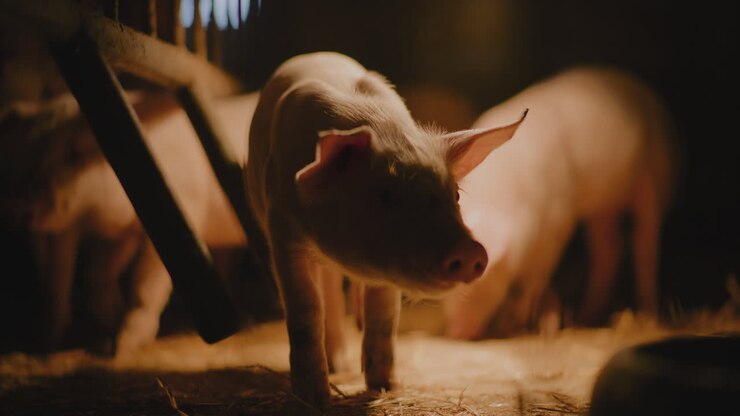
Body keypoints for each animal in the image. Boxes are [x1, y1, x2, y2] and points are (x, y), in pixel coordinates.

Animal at [1, 91, 257, 354]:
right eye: (21, 153)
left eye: (73, 153)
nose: (18, 206)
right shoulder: (120, 232)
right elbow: (91, 273)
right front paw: (60, 341)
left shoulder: (183, 210)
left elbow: (145, 283)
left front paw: (120, 347)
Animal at [244, 51, 526, 408]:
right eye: (386, 195)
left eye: (455, 195)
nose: (470, 250)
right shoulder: (281, 228)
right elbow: (305, 309)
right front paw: (315, 400)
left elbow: (384, 316)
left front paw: (386, 388)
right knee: (327, 295)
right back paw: (337, 367)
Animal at [443, 67, 675, 340]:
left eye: (481, 274)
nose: (457, 333)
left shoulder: (558, 223)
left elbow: (536, 277)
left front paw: (523, 322)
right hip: (601, 206)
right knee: (608, 247)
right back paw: (587, 315)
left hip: (653, 179)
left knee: (645, 242)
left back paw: (646, 314)